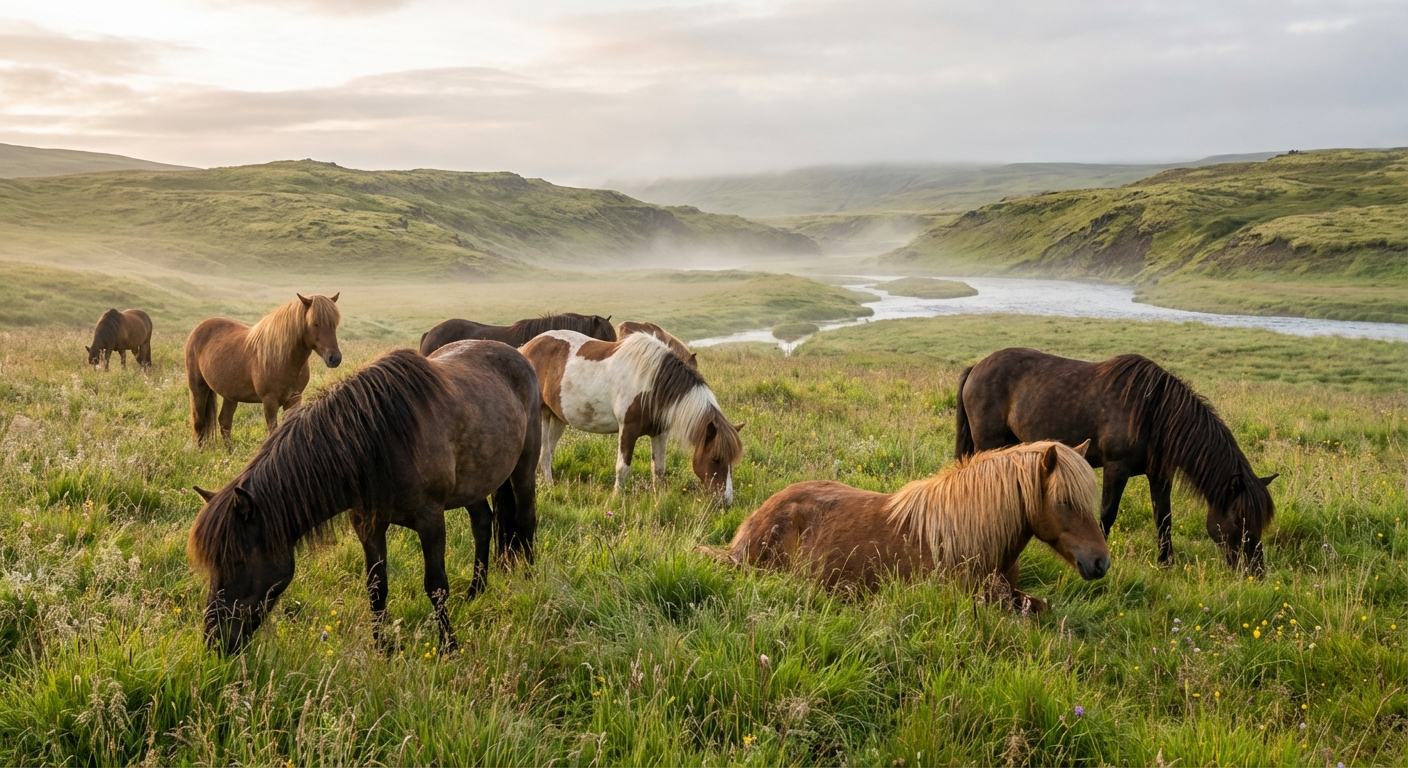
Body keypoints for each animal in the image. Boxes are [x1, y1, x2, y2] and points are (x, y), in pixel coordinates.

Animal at [184, 294, 342, 447]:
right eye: (315, 323)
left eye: (334, 324)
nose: (335, 358)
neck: (282, 358)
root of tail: (197, 329)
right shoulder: (269, 402)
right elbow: (273, 432)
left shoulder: (294, 399)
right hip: (198, 389)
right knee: (199, 424)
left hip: (230, 396)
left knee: (224, 422)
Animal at [187, 343, 540, 654]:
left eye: (237, 561)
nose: (215, 641)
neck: (382, 439)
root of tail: (516, 354)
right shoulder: (368, 524)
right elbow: (376, 587)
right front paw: (382, 649)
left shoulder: (430, 520)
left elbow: (437, 585)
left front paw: (449, 648)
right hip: (473, 483)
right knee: (482, 523)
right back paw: (475, 591)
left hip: (524, 466)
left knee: (525, 521)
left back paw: (527, 581)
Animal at [519, 330, 743, 503]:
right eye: (715, 458)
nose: (725, 501)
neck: (652, 385)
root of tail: (526, 347)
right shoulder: (628, 430)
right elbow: (622, 468)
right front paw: (616, 499)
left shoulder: (659, 433)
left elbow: (659, 468)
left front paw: (659, 498)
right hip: (541, 415)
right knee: (543, 452)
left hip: (557, 418)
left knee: (547, 452)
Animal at [955, 348, 1277, 573]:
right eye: (1240, 520)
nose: (1256, 572)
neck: (1153, 412)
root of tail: (976, 367)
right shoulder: (1116, 468)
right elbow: (1107, 514)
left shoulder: (1160, 474)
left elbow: (1164, 518)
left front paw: (1166, 564)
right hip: (989, 442)